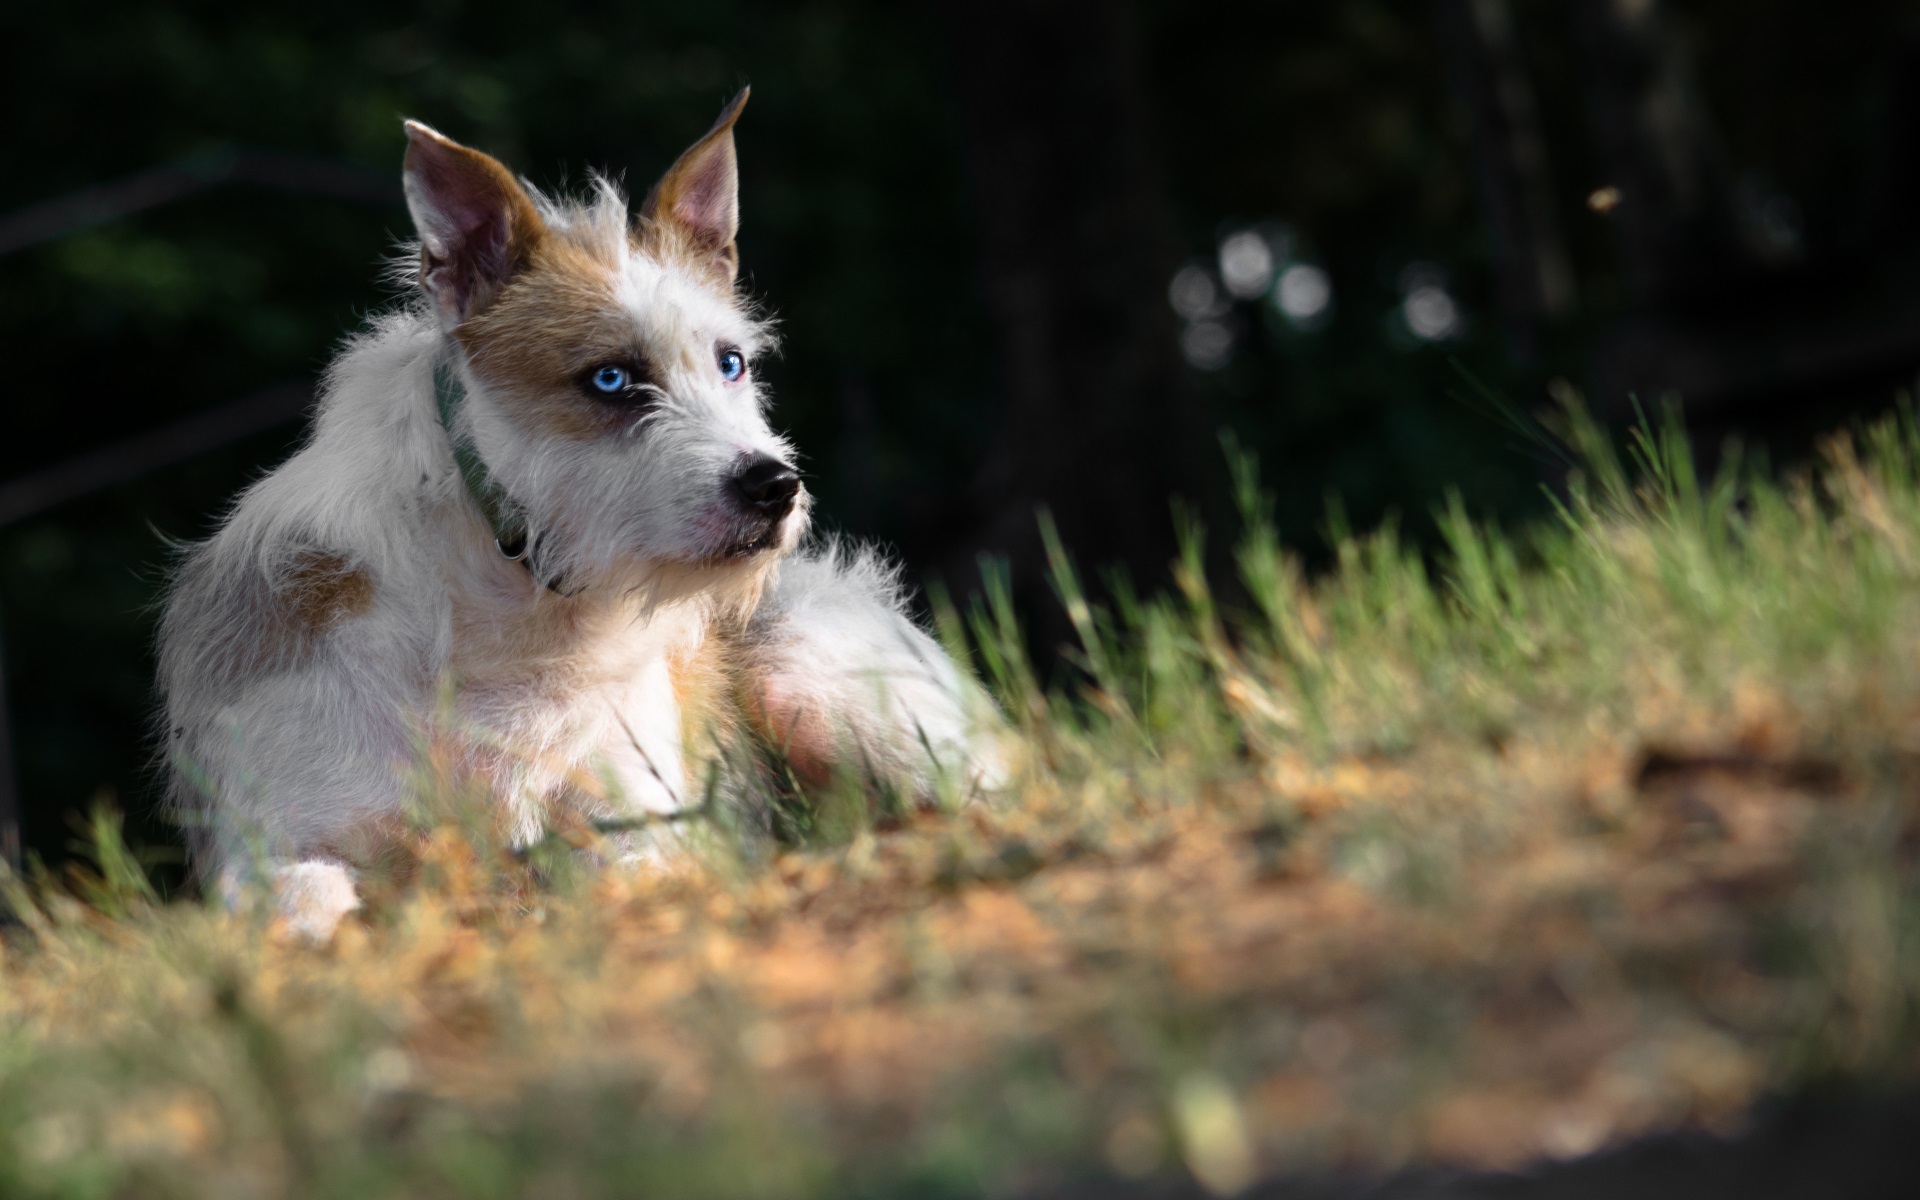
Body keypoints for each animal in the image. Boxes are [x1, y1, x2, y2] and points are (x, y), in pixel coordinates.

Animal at [155, 91, 1006, 936]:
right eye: (610, 379)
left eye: (731, 363)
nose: (775, 486)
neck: (511, 606)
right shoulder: (277, 842)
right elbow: (304, 908)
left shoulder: (646, 825)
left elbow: (622, 879)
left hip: (813, 666)